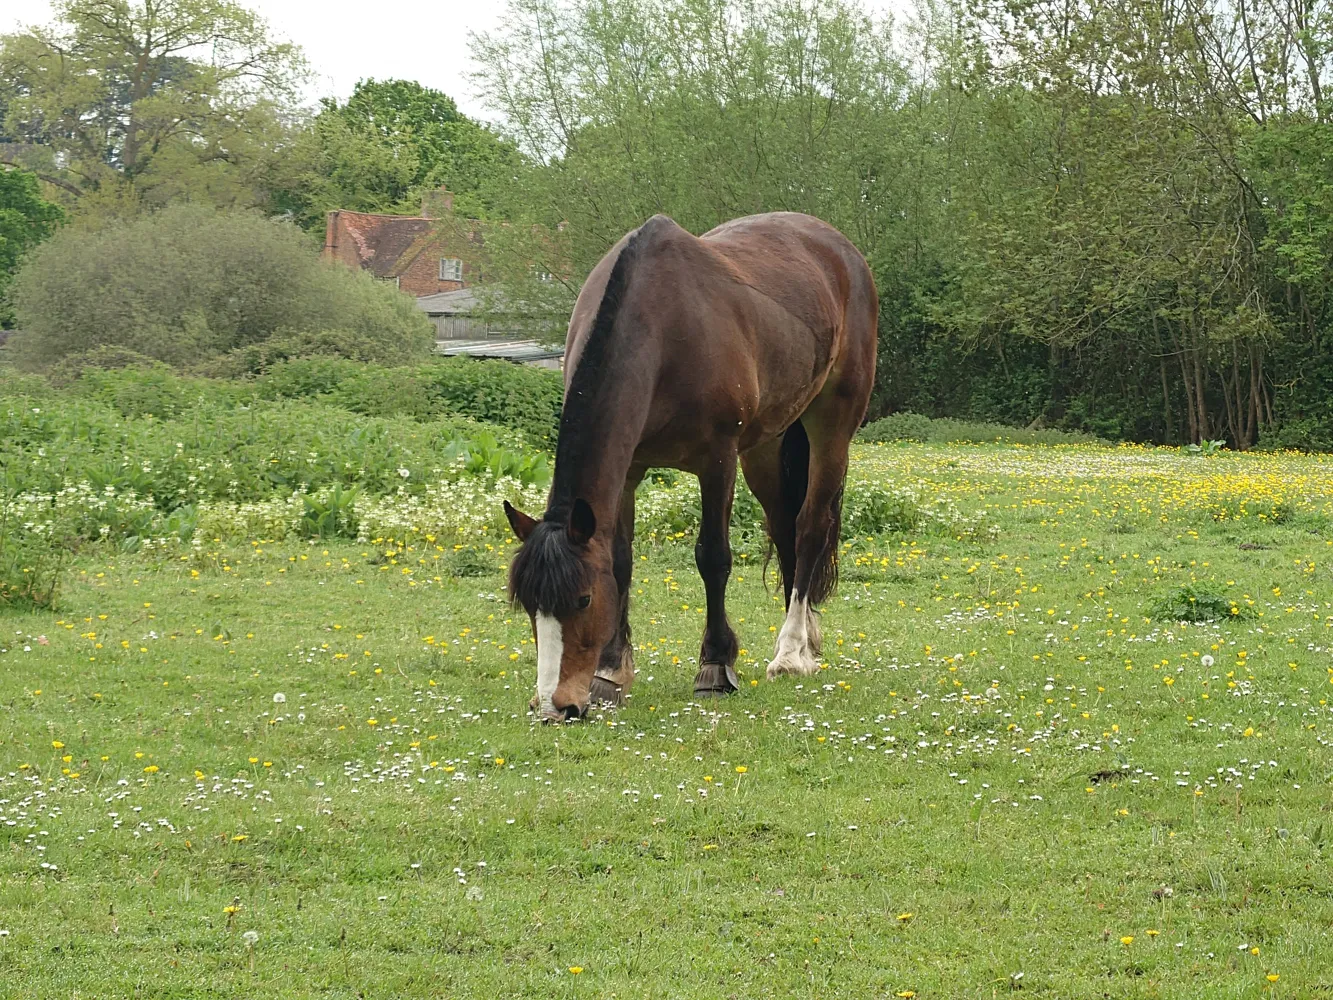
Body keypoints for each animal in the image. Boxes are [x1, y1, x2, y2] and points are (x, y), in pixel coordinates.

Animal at [501, 212, 874, 720]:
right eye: (529, 606)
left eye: (582, 599)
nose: (555, 708)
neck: (662, 328)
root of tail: (841, 250)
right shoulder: (629, 471)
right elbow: (621, 562)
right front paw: (610, 672)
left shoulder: (717, 459)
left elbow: (713, 558)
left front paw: (716, 667)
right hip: (765, 445)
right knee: (785, 529)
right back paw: (805, 639)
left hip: (831, 423)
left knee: (811, 526)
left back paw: (790, 653)